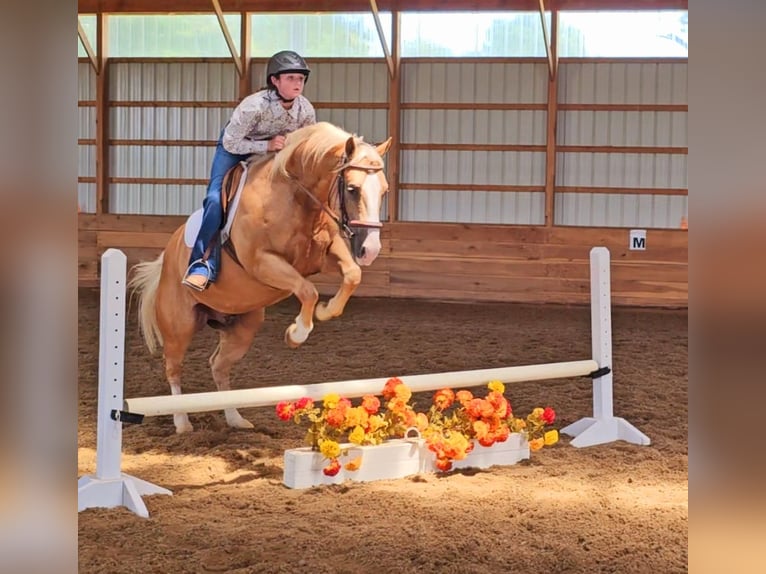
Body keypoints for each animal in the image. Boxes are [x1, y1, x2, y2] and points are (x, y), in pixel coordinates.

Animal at [130, 122, 392, 436]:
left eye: (384, 190)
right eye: (352, 189)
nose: (371, 249)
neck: (295, 197)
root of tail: (166, 259)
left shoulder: (325, 253)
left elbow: (352, 275)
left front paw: (324, 312)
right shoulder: (263, 262)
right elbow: (308, 291)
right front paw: (296, 333)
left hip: (242, 328)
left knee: (218, 366)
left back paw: (235, 419)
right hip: (179, 327)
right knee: (173, 367)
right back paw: (182, 423)